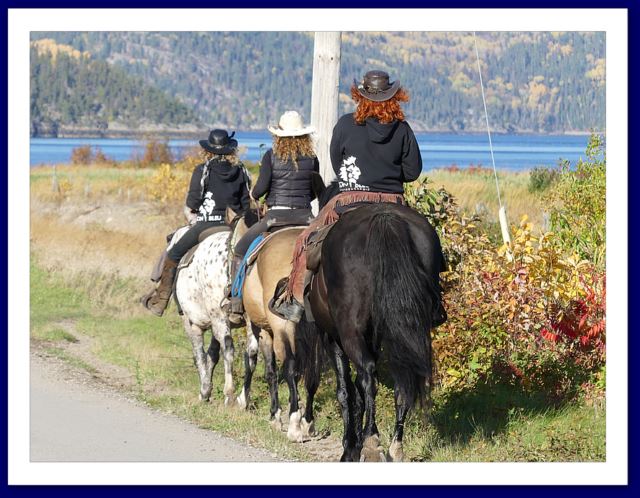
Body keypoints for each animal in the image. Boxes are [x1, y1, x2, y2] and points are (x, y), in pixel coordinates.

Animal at [173, 207, 258, 404]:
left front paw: (237, 396)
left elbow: (245, 352)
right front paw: (233, 395)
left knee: (207, 353)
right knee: (206, 352)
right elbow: (225, 350)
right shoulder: (218, 319)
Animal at [238, 227, 320, 442]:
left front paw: (274, 415)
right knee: (312, 375)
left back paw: (294, 425)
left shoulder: (264, 331)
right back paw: (308, 422)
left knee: (290, 368)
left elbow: (268, 370)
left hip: (281, 326)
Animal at [298, 194, 445, 461]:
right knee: (402, 381)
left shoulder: (334, 339)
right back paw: (395, 447)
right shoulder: (372, 339)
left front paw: (350, 446)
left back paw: (371, 442)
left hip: (349, 332)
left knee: (368, 376)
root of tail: (385, 218)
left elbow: (346, 391)